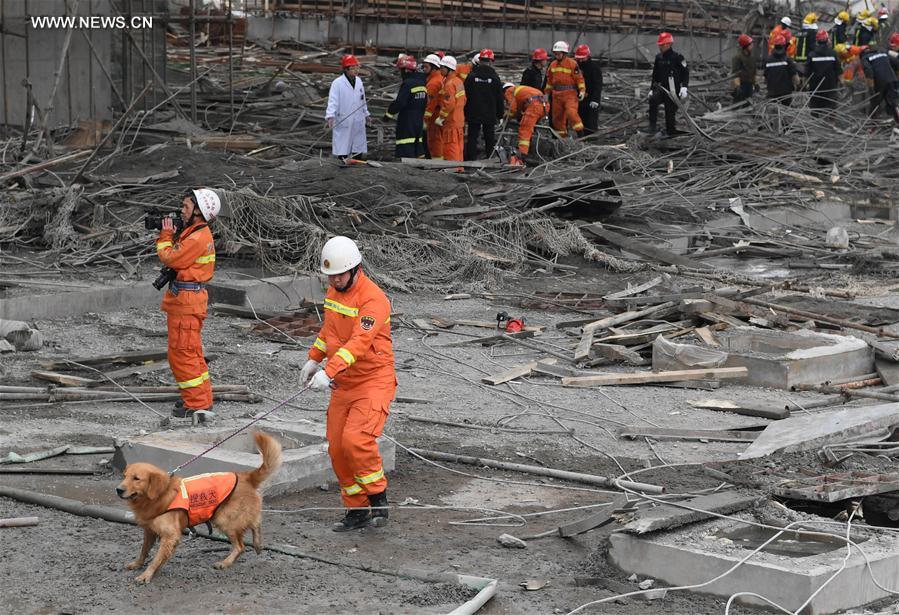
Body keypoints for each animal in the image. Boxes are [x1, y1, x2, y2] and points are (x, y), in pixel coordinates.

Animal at [115, 430, 282, 584]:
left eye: (136, 478)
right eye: (124, 476)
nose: (118, 489)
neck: (160, 494)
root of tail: (246, 476)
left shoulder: (170, 535)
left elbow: (156, 558)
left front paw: (147, 575)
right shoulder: (149, 531)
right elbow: (144, 550)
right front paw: (138, 564)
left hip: (224, 519)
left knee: (241, 545)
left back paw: (225, 562)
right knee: (255, 523)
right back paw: (258, 544)